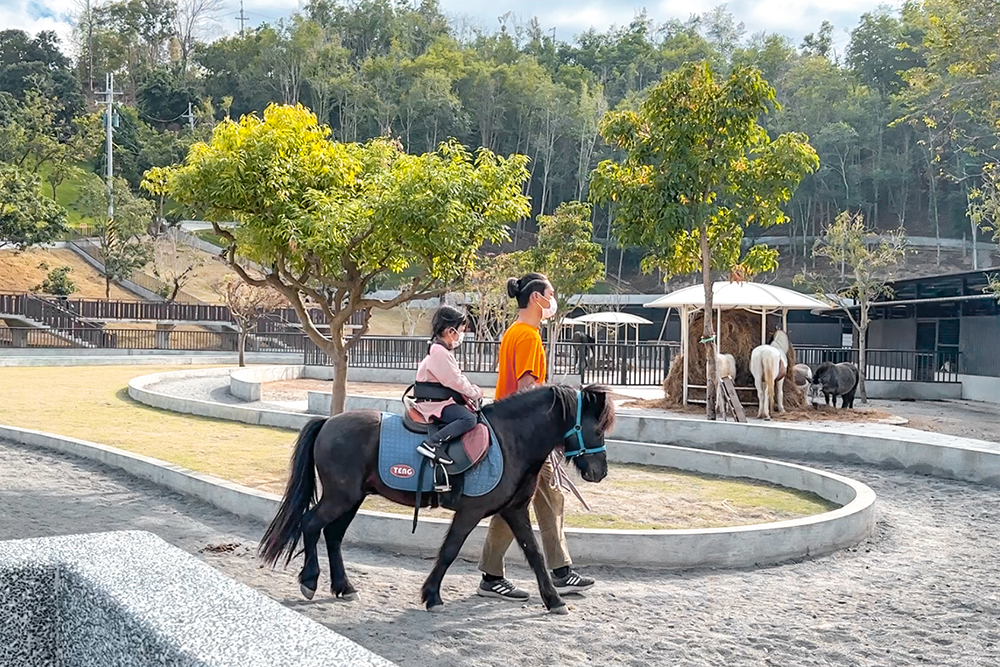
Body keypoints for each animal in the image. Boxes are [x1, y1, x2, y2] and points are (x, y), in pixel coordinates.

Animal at [258, 386, 612, 616]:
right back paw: (309, 580)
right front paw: (431, 595)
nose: (600, 472)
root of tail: (328, 422)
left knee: (332, 535)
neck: (510, 440)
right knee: (310, 524)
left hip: (352, 498)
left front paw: (554, 600)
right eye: (597, 429)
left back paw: (344, 586)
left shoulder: (514, 511)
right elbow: (449, 551)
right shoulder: (471, 511)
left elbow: (535, 554)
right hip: (339, 497)